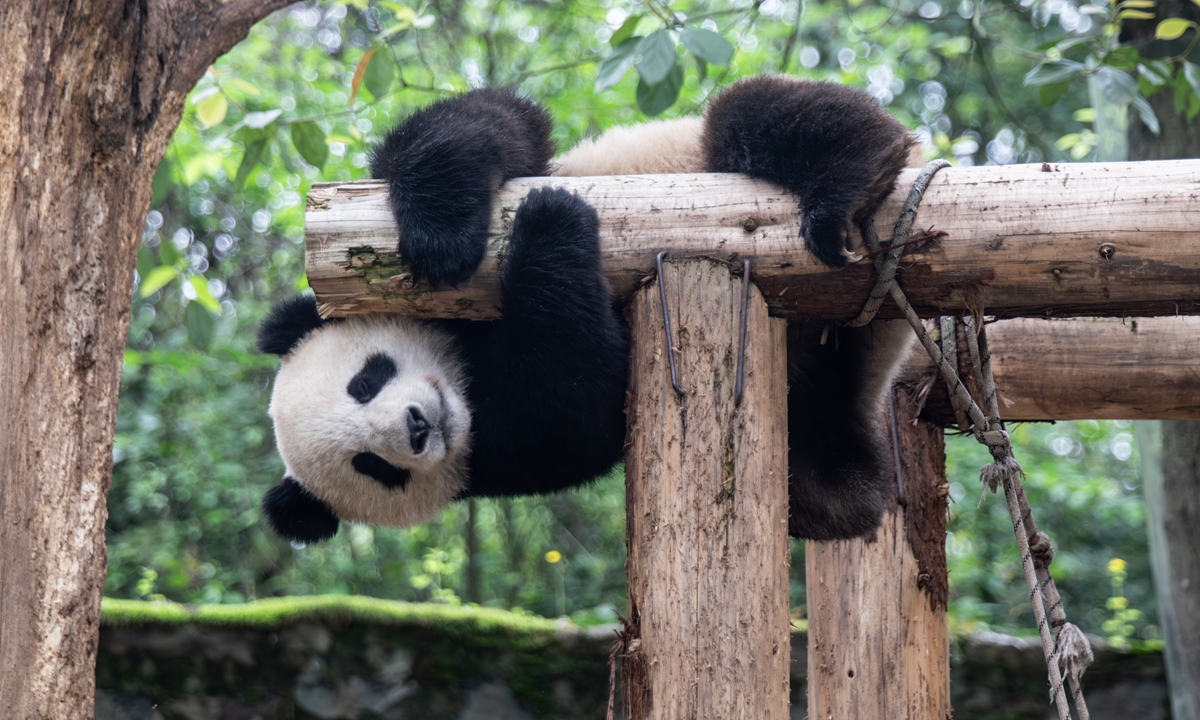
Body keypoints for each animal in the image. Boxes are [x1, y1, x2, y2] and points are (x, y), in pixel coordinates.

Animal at [257, 75, 917, 545]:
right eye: (373, 466)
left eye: (366, 379)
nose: (418, 427)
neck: (466, 378)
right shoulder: (501, 458)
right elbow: (581, 398)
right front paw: (553, 226)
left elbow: (489, 124)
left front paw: (444, 237)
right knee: (823, 482)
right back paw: (848, 478)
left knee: (758, 113)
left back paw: (854, 181)